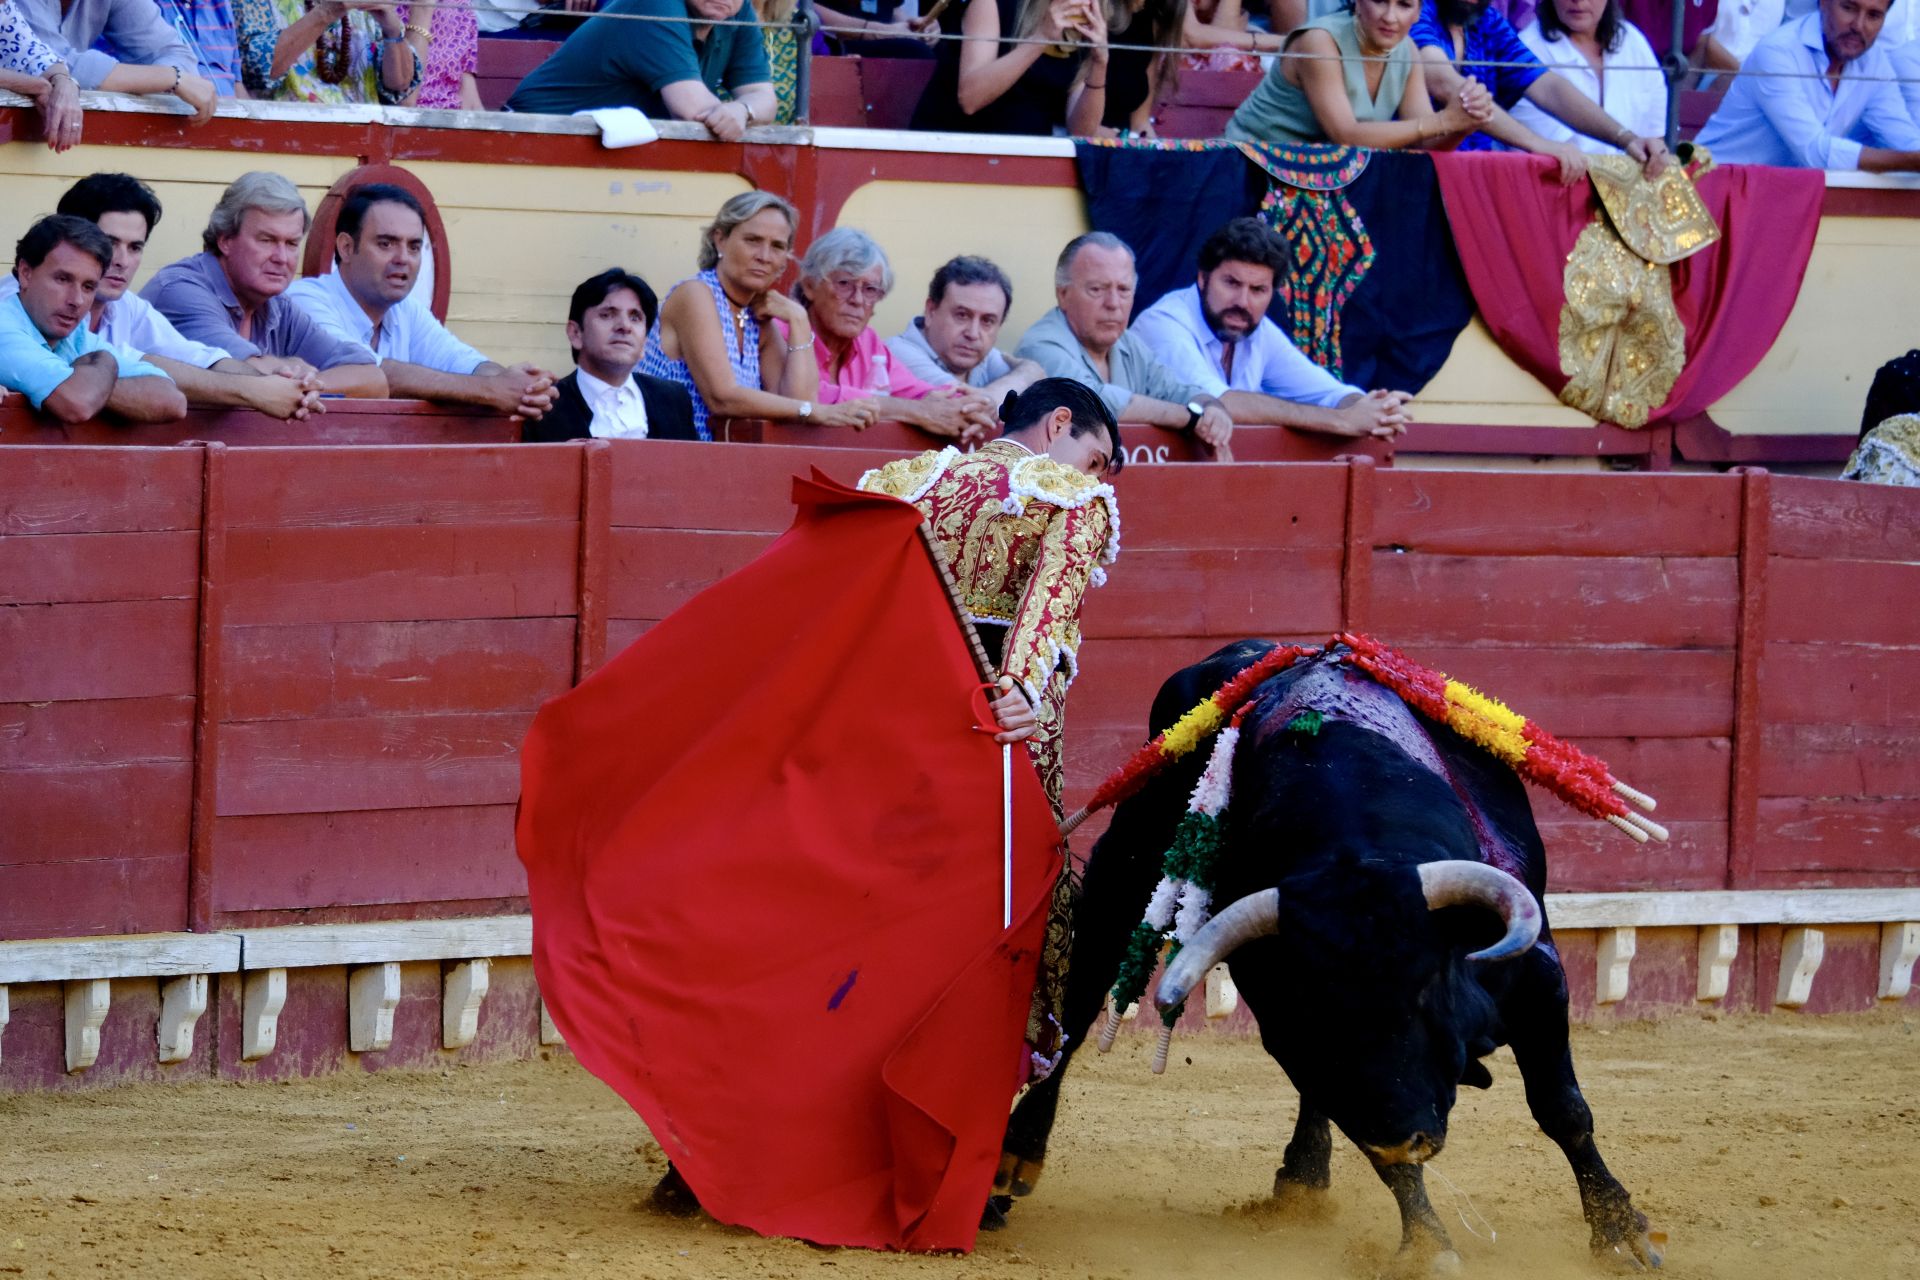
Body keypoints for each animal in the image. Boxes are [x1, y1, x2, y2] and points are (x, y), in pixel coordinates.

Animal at [998, 640, 1658, 1274]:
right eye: (1323, 1008)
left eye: (1427, 986)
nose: (1407, 1135)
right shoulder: (1300, 1035)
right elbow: (1368, 1131)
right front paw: (1427, 1243)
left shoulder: (1538, 978)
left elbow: (1562, 1107)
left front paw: (1619, 1234)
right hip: (1124, 870)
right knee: (1085, 995)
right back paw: (1016, 1158)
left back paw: (1303, 1178)